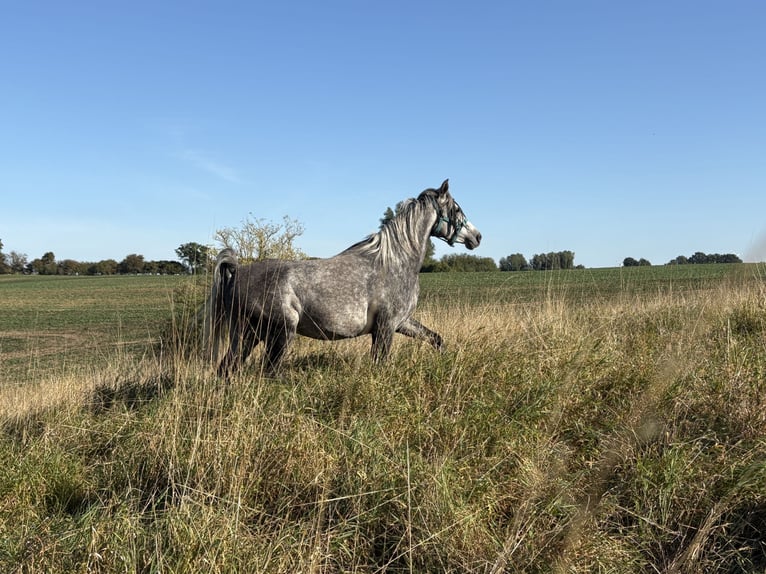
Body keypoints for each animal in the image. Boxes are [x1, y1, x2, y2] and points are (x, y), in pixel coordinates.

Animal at [205, 179, 481, 377]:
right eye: (457, 208)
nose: (477, 237)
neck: (395, 260)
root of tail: (237, 272)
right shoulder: (386, 326)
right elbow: (380, 364)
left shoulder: (401, 322)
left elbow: (435, 339)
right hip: (280, 332)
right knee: (268, 371)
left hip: (248, 335)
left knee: (227, 369)